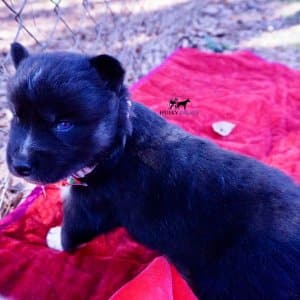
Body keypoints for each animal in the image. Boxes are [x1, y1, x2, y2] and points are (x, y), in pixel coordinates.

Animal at [5, 42, 298, 300]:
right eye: (17, 116)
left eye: (64, 124)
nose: (20, 165)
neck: (118, 143)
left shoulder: (90, 207)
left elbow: (71, 230)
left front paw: (55, 238)